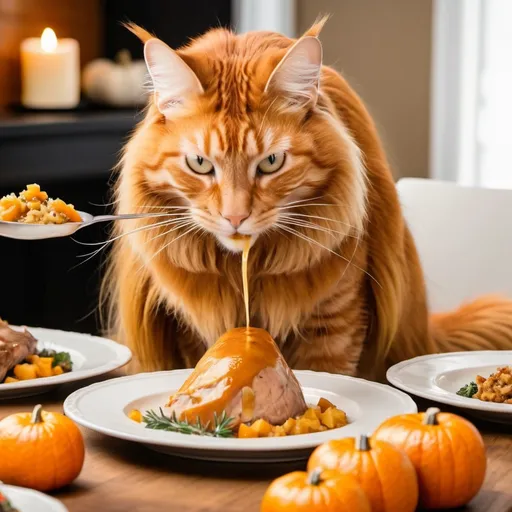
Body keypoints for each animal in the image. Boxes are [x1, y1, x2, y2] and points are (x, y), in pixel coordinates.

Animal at [103, 17, 512, 380]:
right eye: (200, 164)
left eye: (271, 162)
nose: (235, 217)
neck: (248, 269)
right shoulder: (191, 329)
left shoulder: (336, 324)